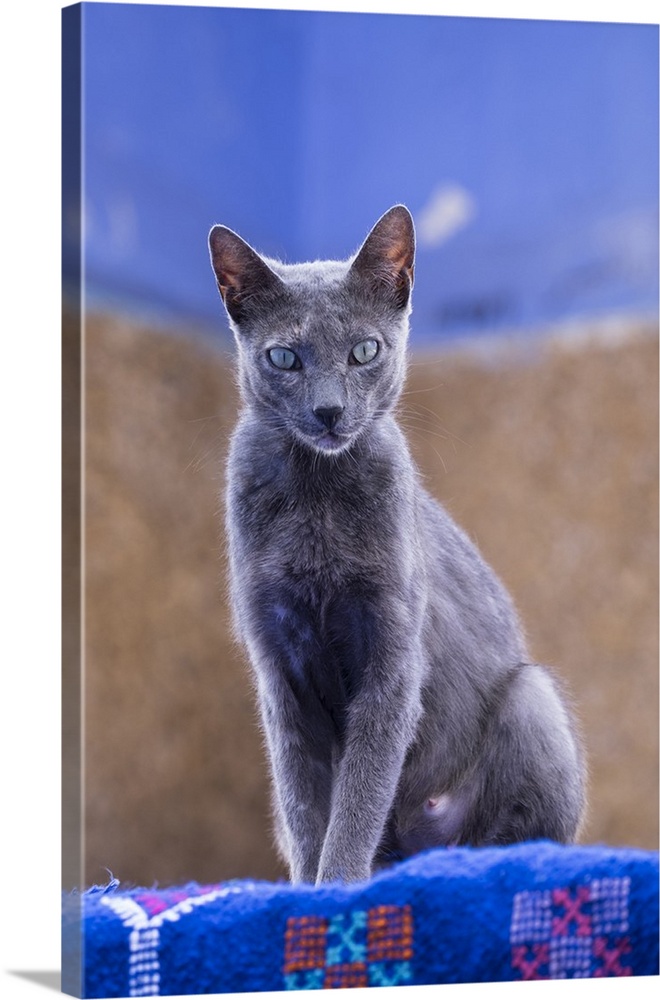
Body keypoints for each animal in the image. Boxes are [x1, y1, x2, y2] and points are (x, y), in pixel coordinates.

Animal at [209, 203, 584, 884]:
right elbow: (305, 809)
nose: (329, 411)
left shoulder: (392, 662)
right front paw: (306, 889)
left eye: (365, 350)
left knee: (521, 836)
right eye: (284, 357)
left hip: (533, 699)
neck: (317, 502)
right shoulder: (280, 675)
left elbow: (357, 799)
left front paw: (336, 888)